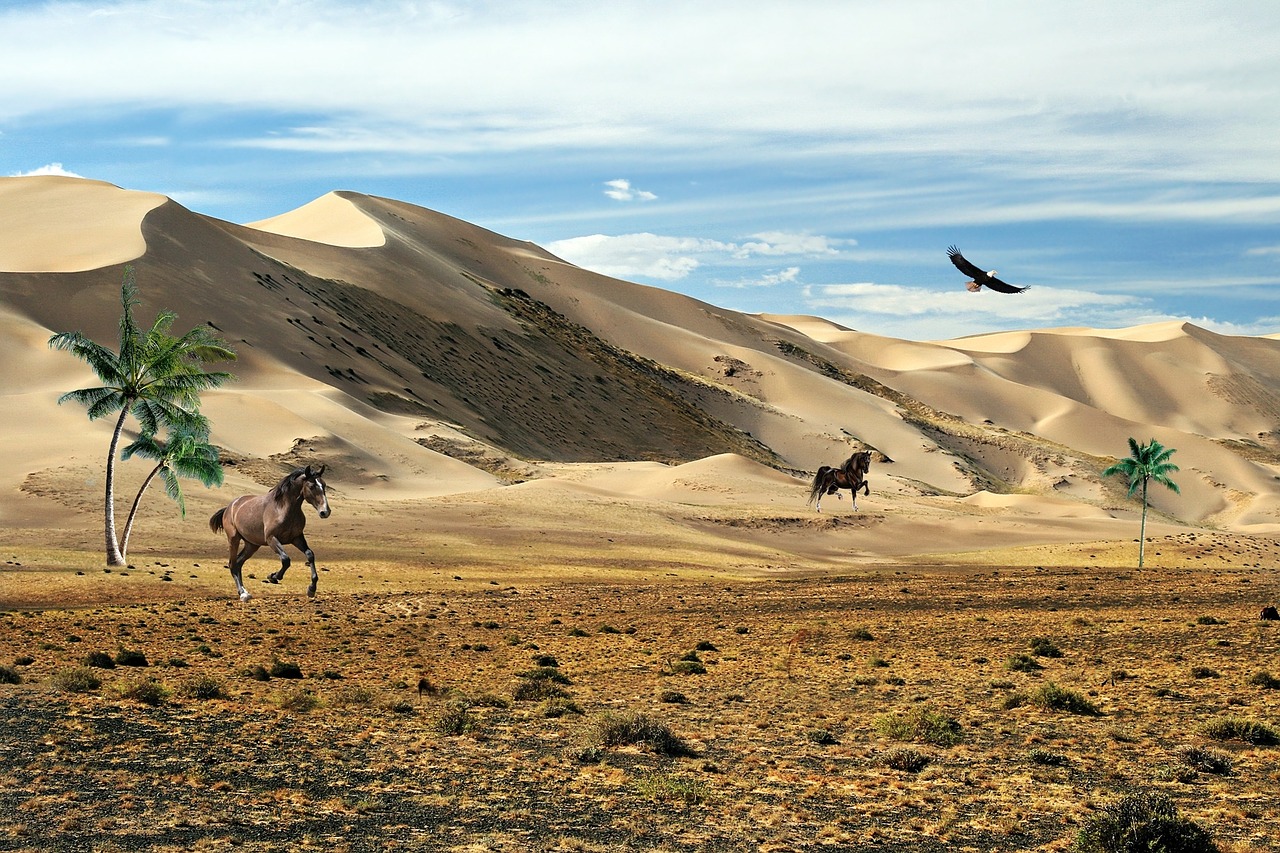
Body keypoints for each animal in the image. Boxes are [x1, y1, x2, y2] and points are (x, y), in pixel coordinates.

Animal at [208, 466, 330, 596]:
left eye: (324, 485)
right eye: (311, 486)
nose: (325, 512)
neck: (282, 508)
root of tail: (229, 507)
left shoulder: (296, 538)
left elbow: (310, 554)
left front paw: (312, 588)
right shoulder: (271, 538)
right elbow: (285, 559)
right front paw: (273, 576)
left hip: (252, 545)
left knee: (238, 563)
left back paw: (244, 591)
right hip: (233, 539)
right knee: (232, 564)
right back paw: (243, 593)